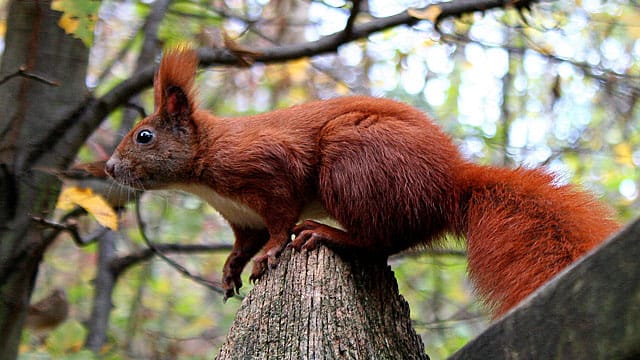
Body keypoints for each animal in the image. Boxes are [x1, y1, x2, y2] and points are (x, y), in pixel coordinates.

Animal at [105, 48, 620, 318]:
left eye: (144, 136)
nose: (109, 168)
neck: (204, 169)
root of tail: (450, 184)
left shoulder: (269, 171)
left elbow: (279, 222)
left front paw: (270, 254)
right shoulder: (241, 217)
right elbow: (242, 242)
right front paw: (231, 269)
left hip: (353, 158)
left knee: (379, 241)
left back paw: (328, 233)